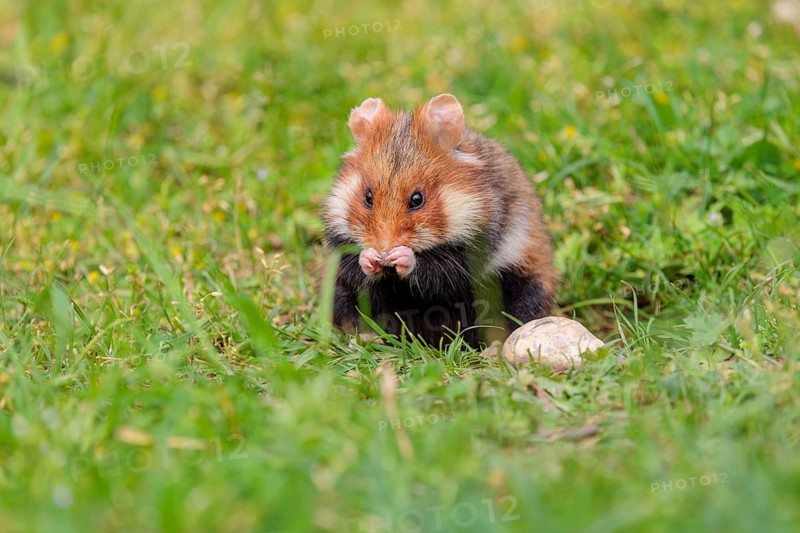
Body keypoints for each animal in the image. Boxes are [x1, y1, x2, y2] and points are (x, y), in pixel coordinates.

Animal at [322, 94, 558, 348]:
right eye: (367, 197)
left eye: (417, 199)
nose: (385, 249)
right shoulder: (338, 244)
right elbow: (353, 263)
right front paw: (372, 257)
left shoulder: (474, 250)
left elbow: (439, 270)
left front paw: (400, 256)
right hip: (338, 292)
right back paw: (365, 339)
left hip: (527, 284)